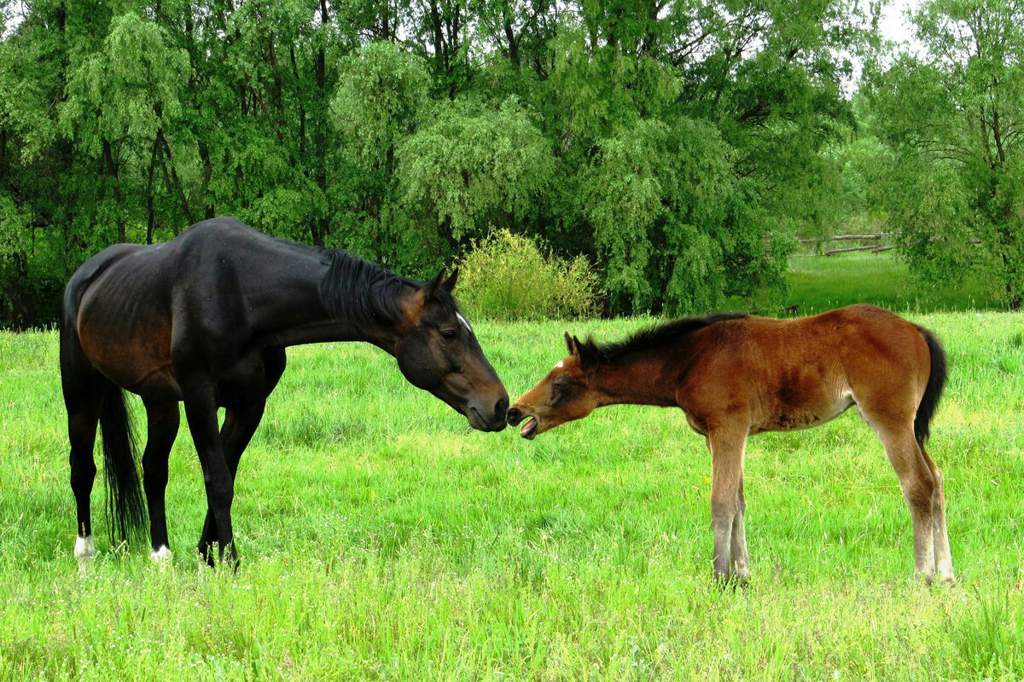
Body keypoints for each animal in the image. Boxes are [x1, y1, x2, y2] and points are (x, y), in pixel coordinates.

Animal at [59, 216, 507, 561]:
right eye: (449, 333)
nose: (500, 404)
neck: (239, 292)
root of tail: (86, 276)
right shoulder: (200, 398)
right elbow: (217, 479)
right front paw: (230, 562)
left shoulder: (249, 404)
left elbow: (226, 475)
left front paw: (208, 555)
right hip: (82, 390)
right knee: (82, 468)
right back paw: (85, 555)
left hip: (161, 400)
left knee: (153, 470)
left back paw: (161, 556)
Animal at [507, 305, 954, 581]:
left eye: (561, 383)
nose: (514, 412)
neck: (689, 360)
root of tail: (916, 331)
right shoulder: (720, 435)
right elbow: (738, 502)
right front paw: (742, 575)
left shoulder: (728, 428)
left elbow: (720, 502)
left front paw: (719, 577)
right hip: (911, 426)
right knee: (937, 480)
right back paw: (947, 574)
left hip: (890, 420)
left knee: (918, 484)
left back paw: (924, 575)